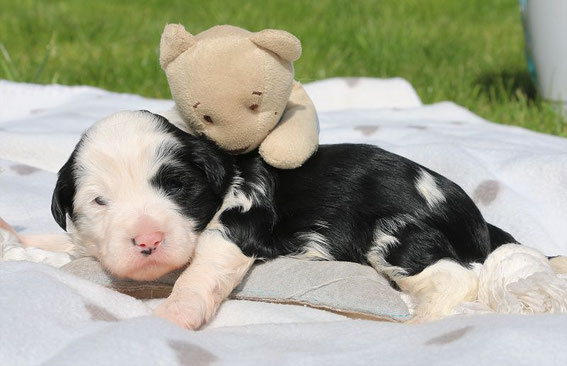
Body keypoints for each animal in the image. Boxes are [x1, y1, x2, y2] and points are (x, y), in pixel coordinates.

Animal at [42, 110, 564, 328]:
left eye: (177, 187)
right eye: (99, 202)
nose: (147, 240)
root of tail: (475, 218)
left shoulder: (238, 226)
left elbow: (200, 273)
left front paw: (176, 314)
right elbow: (61, 244)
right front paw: (33, 250)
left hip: (394, 233)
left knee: (455, 278)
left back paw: (418, 325)